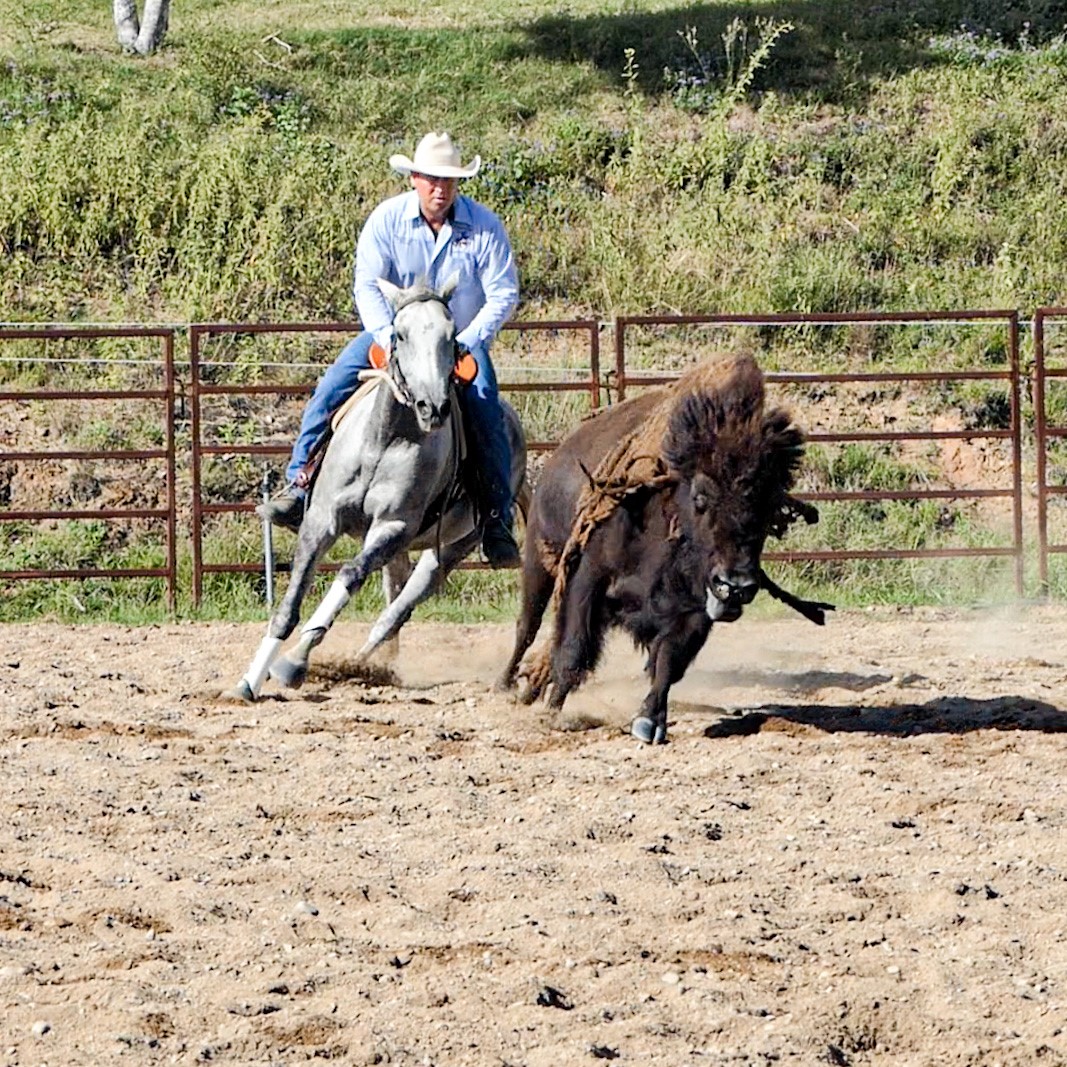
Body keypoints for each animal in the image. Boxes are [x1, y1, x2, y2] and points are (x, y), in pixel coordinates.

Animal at [226, 276, 526, 702]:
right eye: (399, 334)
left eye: (451, 335)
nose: (432, 407)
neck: (385, 438)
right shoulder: (321, 520)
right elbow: (290, 602)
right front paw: (251, 680)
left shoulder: (392, 526)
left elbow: (349, 574)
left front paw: (295, 661)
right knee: (393, 597)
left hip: (451, 547)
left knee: (400, 607)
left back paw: (361, 663)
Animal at [498, 353, 830, 744]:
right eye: (701, 497)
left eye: (768, 507)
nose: (735, 586)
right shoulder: (587, 577)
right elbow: (573, 648)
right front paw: (553, 714)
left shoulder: (693, 612)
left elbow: (668, 664)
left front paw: (648, 723)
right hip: (540, 559)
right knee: (528, 625)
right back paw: (507, 685)